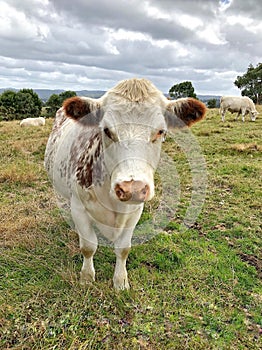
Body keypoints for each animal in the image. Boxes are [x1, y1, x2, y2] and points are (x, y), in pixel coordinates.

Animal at [44, 79, 206, 290]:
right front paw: (86, 278)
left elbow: (123, 249)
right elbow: (88, 246)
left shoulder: (134, 211)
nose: (132, 189)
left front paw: (120, 281)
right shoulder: (79, 206)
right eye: (106, 130)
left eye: (160, 131)